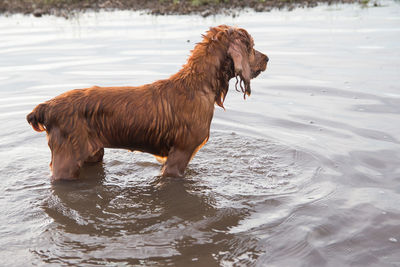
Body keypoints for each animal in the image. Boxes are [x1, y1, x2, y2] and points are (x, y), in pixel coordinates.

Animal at [26, 25, 268, 182]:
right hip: (67, 160)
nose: (267, 58)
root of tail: (47, 106)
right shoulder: (179, 156)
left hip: (92, 153)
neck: (198, 85)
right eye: (251, 47)